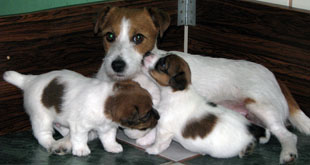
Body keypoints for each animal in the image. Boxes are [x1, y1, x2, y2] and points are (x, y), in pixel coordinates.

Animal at [3, 69, 160, 156]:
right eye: (146, 115)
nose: (158, 117)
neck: (107, 101)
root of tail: (30, 80)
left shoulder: (107, 128)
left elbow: (108, 139)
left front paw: (112, 147)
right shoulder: (80, 126)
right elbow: (80, 138)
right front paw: (81, 150)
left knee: (60, 128)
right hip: (41, 117)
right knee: (42, 133)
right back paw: (51, 143)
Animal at [142, 53, 270, 158]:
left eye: (163, 63)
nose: (147, 53)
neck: (176, 93)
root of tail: (250, 126)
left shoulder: (165, 130)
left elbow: (159, 142)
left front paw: (152, 149)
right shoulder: (161, 123)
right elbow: (153, 132)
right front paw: (144, 140)